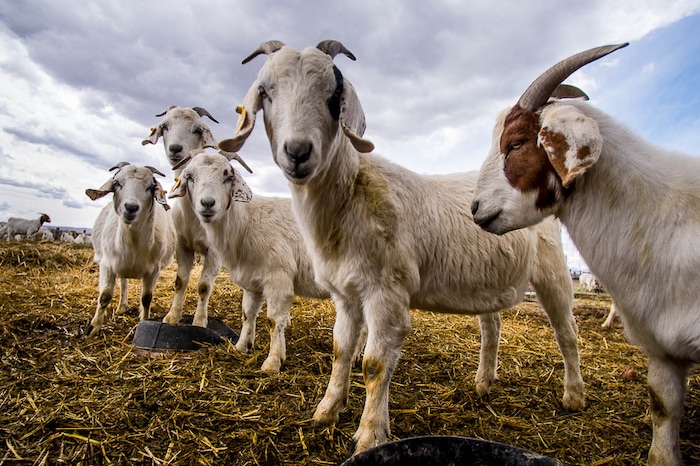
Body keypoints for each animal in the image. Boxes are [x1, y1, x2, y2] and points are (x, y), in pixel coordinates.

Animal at [85, 162, 175, 337]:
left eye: (150, 187)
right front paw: (93, 327)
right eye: (117, 184)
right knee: (123, 282)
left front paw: (144, 321)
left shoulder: (154, 270)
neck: (133, 242)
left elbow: (146, 298)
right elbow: (104, 296)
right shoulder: (107, 264)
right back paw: (121, 307)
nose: (131, 207)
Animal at [169, 150, 330, 373]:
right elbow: (248, 314)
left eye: (228, 176)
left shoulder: (278, 279)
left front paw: (272, 362)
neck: (246, 222)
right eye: (190, 176)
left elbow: (273, 321)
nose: (207, 203)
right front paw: (242, 346)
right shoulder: (252, 281)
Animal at [219, 40, 584, 454]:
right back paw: (483, 383)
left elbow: (374, 364)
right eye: (266, 93)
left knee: (566, 331)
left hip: (553, 271)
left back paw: (573, 396)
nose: (297, 151)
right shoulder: (346, 293)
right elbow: (340, 350)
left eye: (333, 96)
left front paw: (369, 434)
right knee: (492, 326)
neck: (351, 193)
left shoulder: (386, 290)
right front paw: (326, 412)